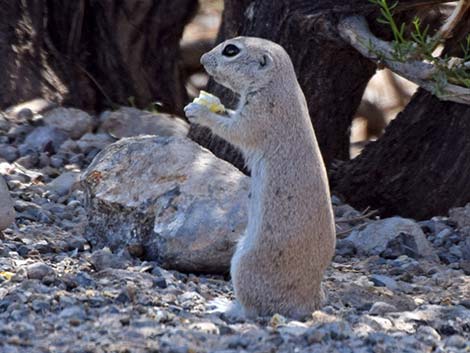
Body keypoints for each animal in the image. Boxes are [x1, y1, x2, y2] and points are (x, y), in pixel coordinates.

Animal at [185, 36, 336, 320]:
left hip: (244, 263)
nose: (201, 59)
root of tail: (308, 301)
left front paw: (197, 110)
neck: (276, 84)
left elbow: (234, 129)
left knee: (252, 309)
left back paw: (224, 306)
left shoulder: (260, 115)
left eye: (231, 50)